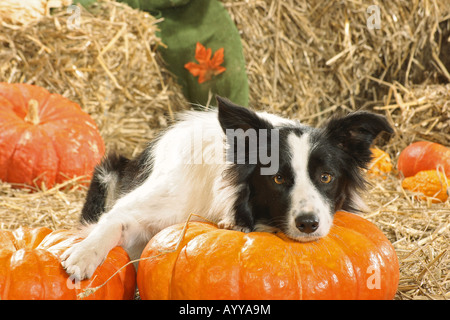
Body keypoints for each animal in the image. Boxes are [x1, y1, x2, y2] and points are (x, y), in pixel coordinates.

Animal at [61, 97, 392, 280]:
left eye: (325, 177)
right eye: (278, 179)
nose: (308, 224)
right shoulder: (143, 207)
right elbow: (111, 222)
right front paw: (83, 255)